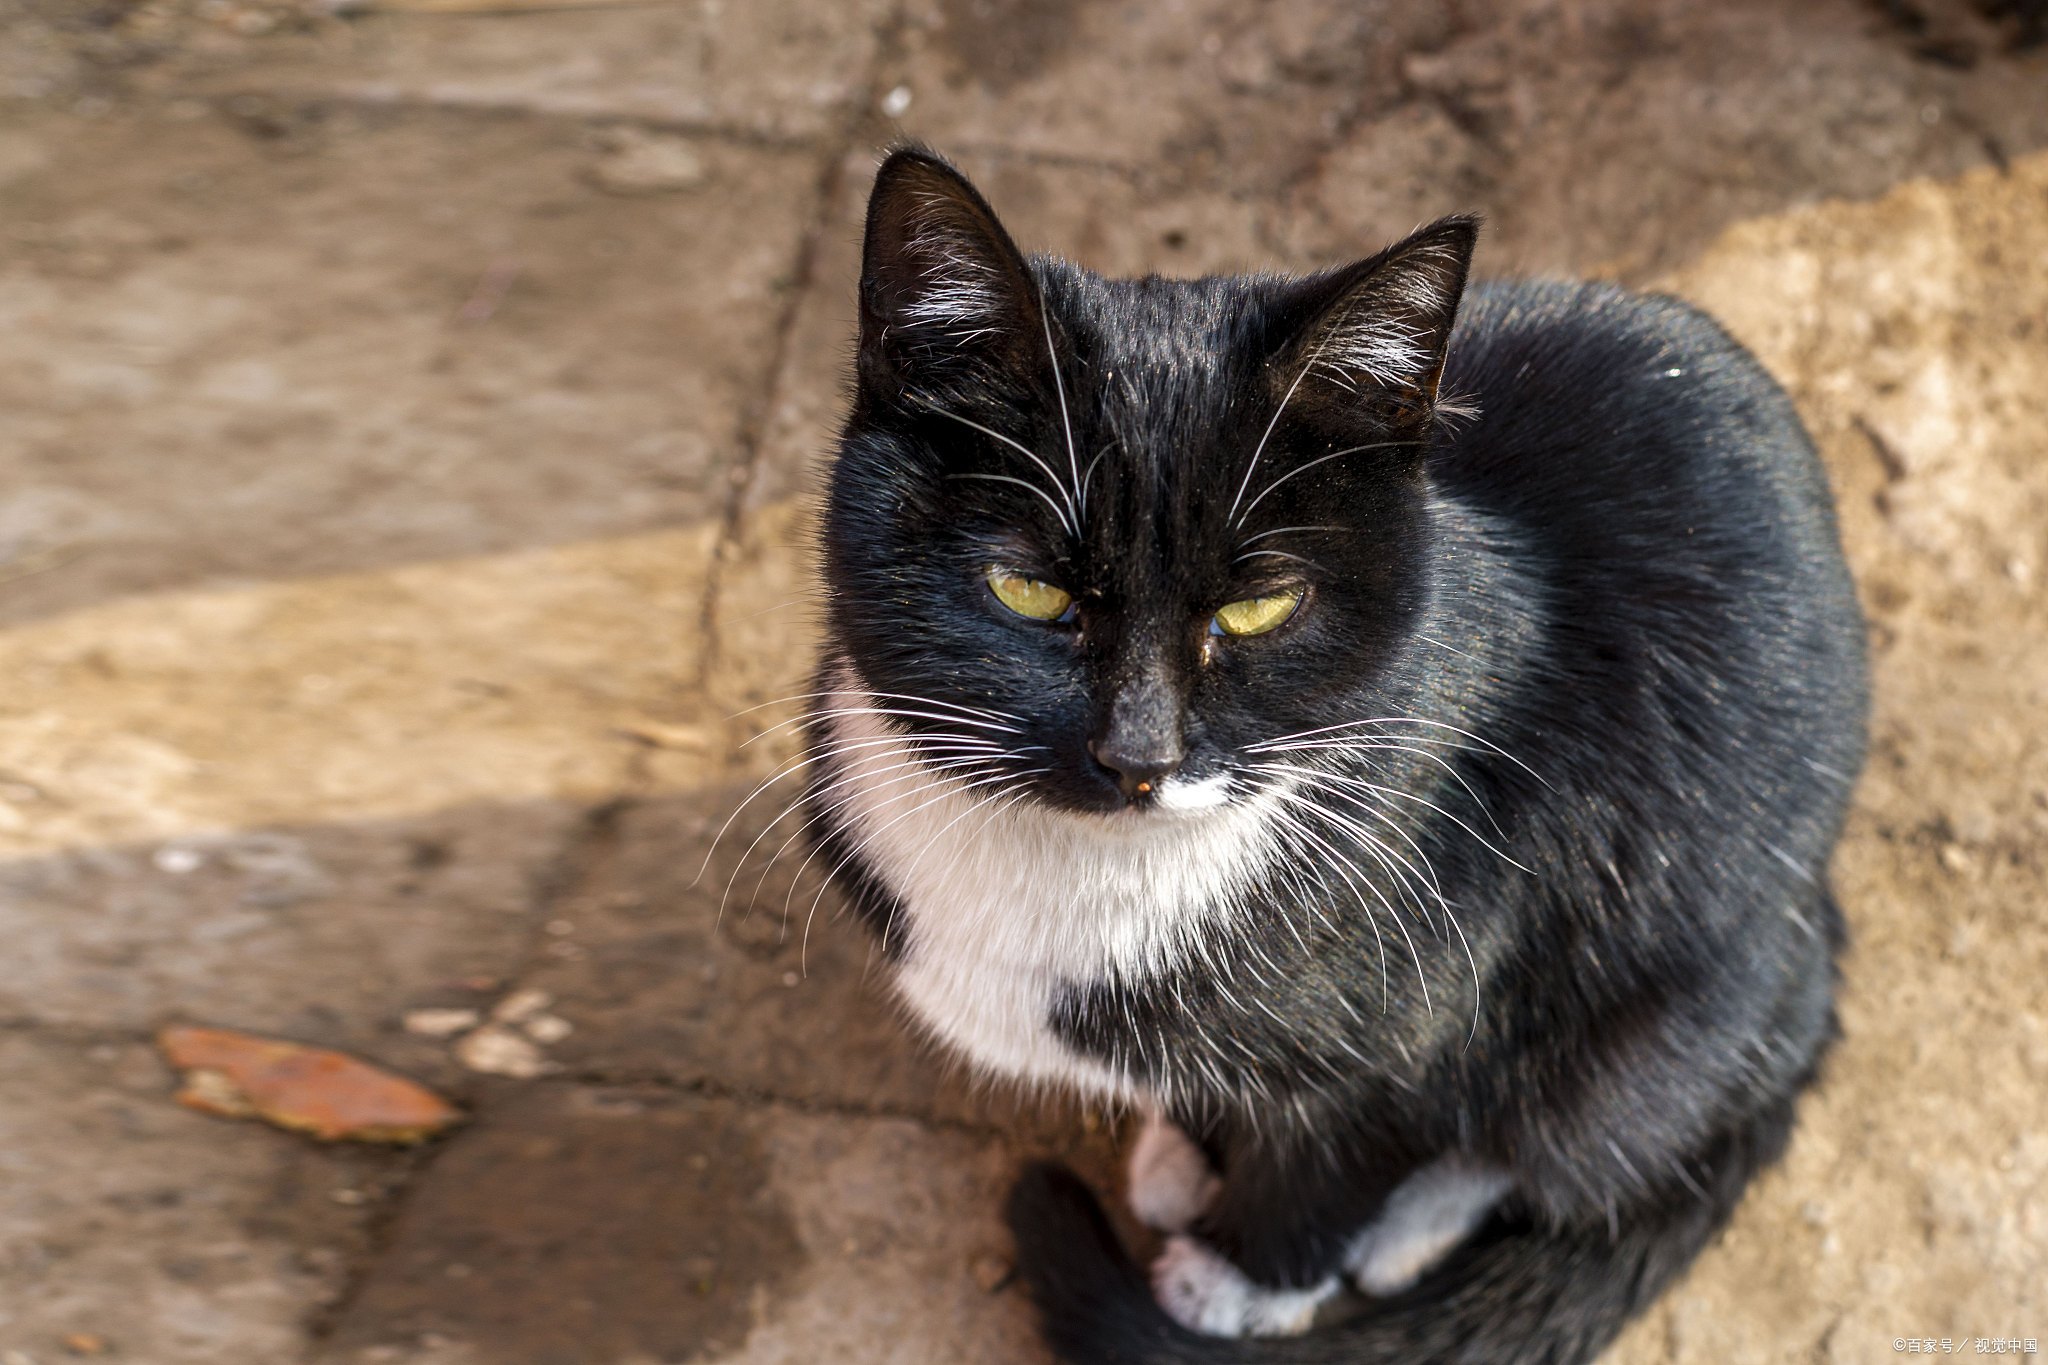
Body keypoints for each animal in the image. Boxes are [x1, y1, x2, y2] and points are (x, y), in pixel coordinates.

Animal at [790, 149, 1867, 1365]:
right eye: (1027, 590)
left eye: (1260, 607)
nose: (1138, 756)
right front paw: (1188, 1146)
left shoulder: (1459, 925)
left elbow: (1361, 1128)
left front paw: (1242, 1277)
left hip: (1686, 976)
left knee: (1603, 1118)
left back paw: (1415, 1223)